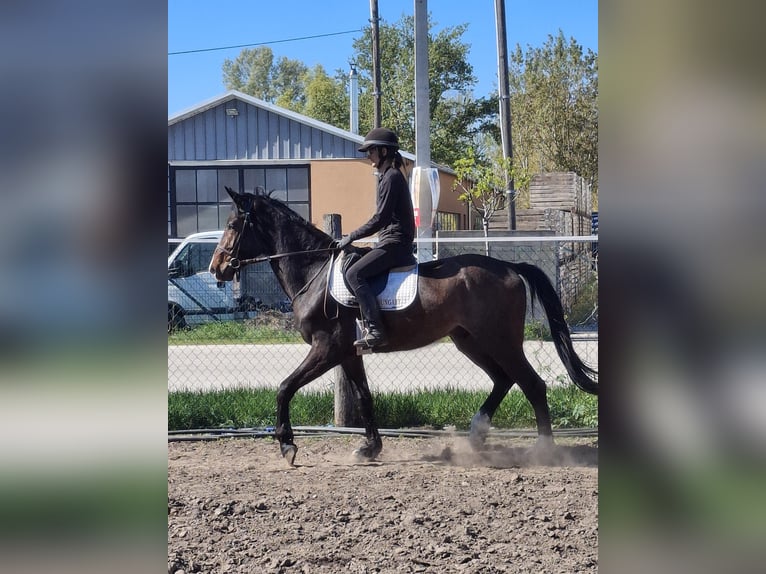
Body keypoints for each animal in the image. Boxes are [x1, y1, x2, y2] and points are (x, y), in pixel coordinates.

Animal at [209, 187, 598, 465]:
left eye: (232, 226)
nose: (217, 268)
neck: (313, 272)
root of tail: (510, 267)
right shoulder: (347, 353)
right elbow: (364, 397)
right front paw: (370, 448)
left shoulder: (326, 347)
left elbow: (284, 387)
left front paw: (287, 445)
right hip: (469, 340)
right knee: (504, 380)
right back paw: (476, 434)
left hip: (500, 340)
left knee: (532, 384)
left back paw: (543, 451)